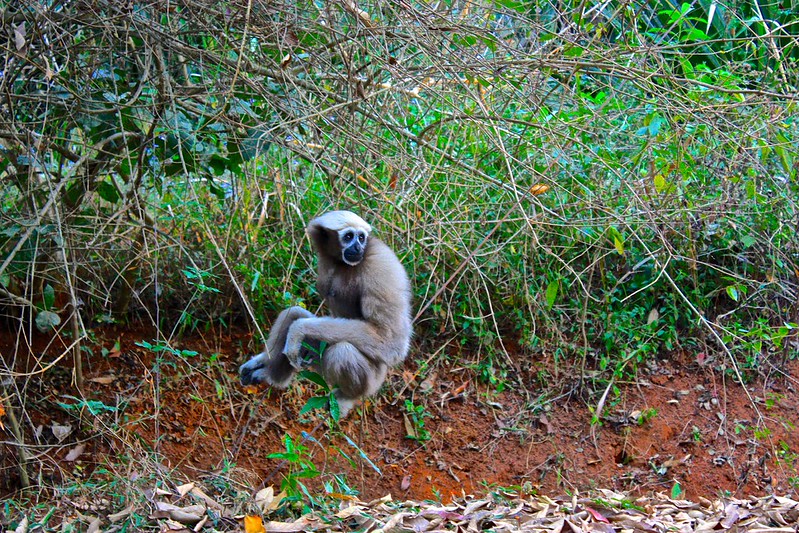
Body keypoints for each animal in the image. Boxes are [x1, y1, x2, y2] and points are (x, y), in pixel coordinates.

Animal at [239, 210, 412, 417]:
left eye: (361, 238)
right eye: (349, 237)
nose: (358, 246)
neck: (343, 264)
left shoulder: (380, 265)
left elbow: (390, 340)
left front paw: (299, 329)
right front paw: (261, 359)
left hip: (372, 380)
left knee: (342, 352)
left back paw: (347, 397)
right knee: (293, 313)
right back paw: (269, 372)